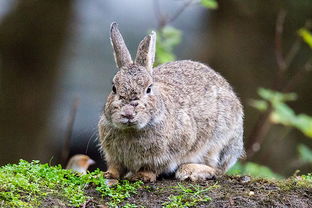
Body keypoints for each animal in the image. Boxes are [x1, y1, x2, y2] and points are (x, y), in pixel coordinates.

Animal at [98, 22, 245, 182]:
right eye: (114, 88)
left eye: (149, 89)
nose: (128, 113)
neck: (132, 130)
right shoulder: (114, 156)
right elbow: (116, 167)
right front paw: (108, 174)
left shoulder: (169, 153)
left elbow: (152, 168)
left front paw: (142, 176)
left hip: (221, 143)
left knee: (218, 169)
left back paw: (190, 170)